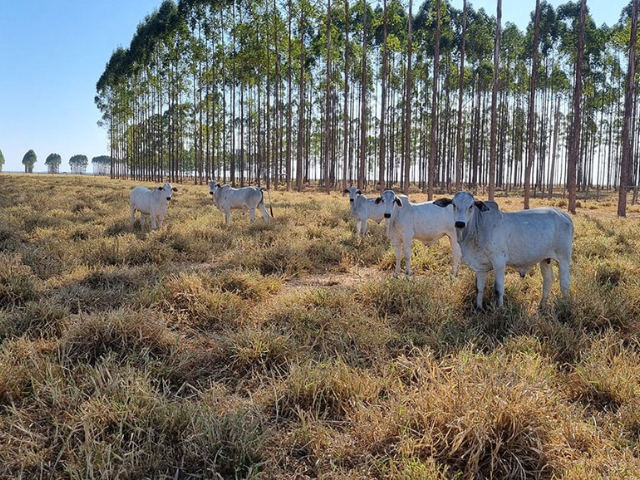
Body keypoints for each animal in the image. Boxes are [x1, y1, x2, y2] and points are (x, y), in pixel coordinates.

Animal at [436, 190, 576, 308]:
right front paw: (479, 307)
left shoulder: (499, 261)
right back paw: (541, 306)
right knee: (548, 280)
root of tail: (565, 215)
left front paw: (500, 309)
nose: (460, 223)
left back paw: (565, 305)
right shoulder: (480, 266)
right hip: (545, 259)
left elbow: (498, 289)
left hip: (564, 258)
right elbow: (479, 288)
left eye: (471, 206)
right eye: (454, 205)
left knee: (565, 283)